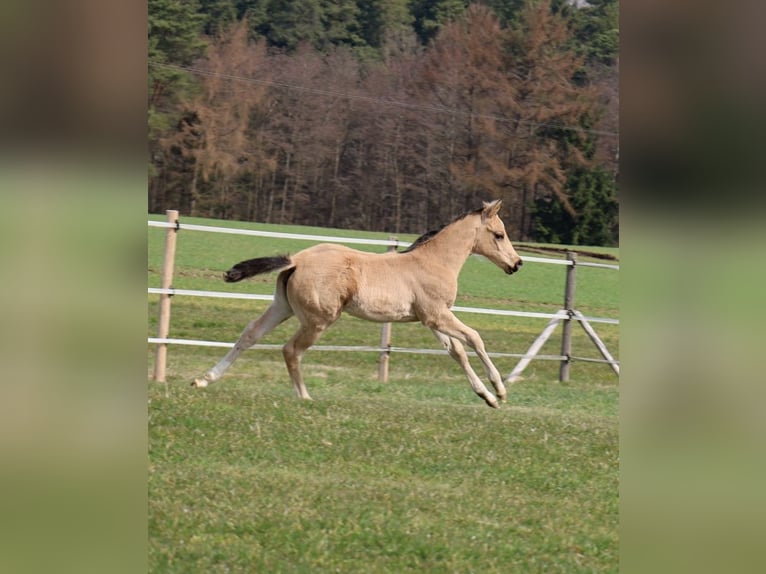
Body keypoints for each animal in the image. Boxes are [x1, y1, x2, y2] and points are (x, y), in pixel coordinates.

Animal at [192, 199, 523, 408]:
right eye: (499, 234)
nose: (517, 264)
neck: (433, 261)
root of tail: (296, 260)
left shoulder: (431, 320)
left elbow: (456, 352)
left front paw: (487, 398)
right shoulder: (438, 315)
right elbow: (474, 339)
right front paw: (500, 390)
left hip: (282, 307)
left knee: (250, 334)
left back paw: (204, 379)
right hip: (318, 320)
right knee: (291, 350)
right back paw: (305, 397)